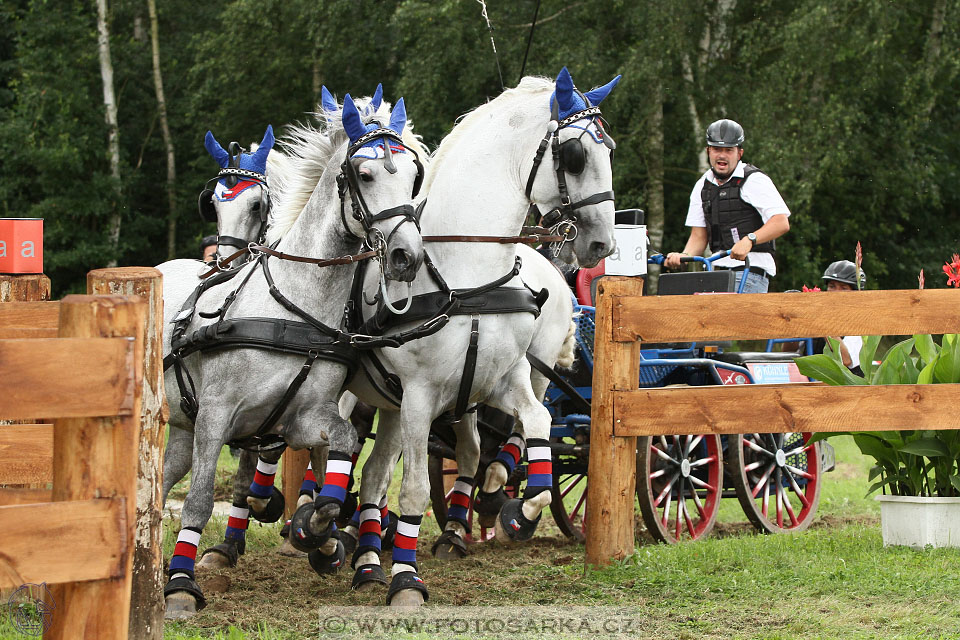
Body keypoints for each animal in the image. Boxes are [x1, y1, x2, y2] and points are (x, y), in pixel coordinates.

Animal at [161, 91, 424, 620]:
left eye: (412, 173)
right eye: (364, 175)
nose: (407, 256)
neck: (292, 307)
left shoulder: (303, 417)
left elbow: (337, 462)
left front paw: (319, 535)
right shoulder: (217, 415)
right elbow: (200, 499)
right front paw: (182, 584)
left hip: (181, 427)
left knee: (158, 483)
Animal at [290, 66, 624, 604]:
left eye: (609, 148)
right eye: (575, 155)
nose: (602, 243)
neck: (464, 274)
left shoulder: (503, 380)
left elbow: (537, 433)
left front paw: (514, 510)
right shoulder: (419, 396)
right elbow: (412, 489)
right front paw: (406, 579)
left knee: (404, 464)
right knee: (339, 457)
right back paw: (321, 529)